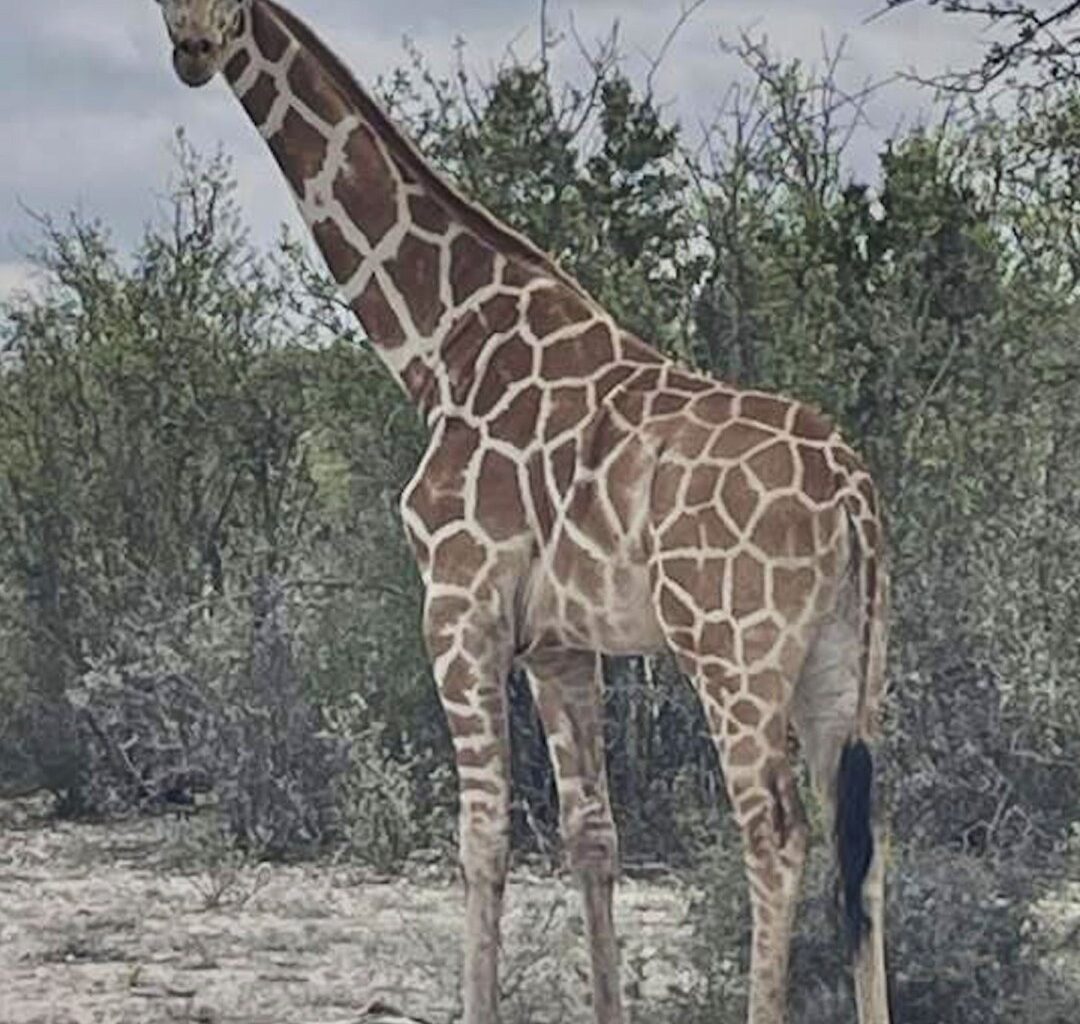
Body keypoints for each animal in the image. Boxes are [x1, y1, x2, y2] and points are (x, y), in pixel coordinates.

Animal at [150, 2, 892, 1022]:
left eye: (230, 10)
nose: (192, 49)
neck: (442, 342)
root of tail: (854, 493)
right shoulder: (559, 644)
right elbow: (592, 836)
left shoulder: (458, 605)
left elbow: (482, 838)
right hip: (844, 664)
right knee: (866, 849)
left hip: (733, 654)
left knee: (777, 838)